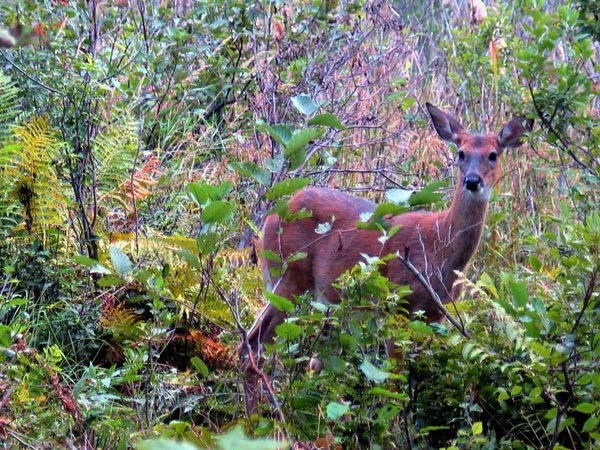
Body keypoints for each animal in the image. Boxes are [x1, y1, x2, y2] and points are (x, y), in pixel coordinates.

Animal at [241, 102, 532, 414]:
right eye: (461, 153)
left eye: (493, 154)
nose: (472, 181)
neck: (438, 249)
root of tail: (270, 218)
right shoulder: (398, 305)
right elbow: (394, 383)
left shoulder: (436, 315)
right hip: (289, 276)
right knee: (253, 344)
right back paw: (257, 418)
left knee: (307, 358)